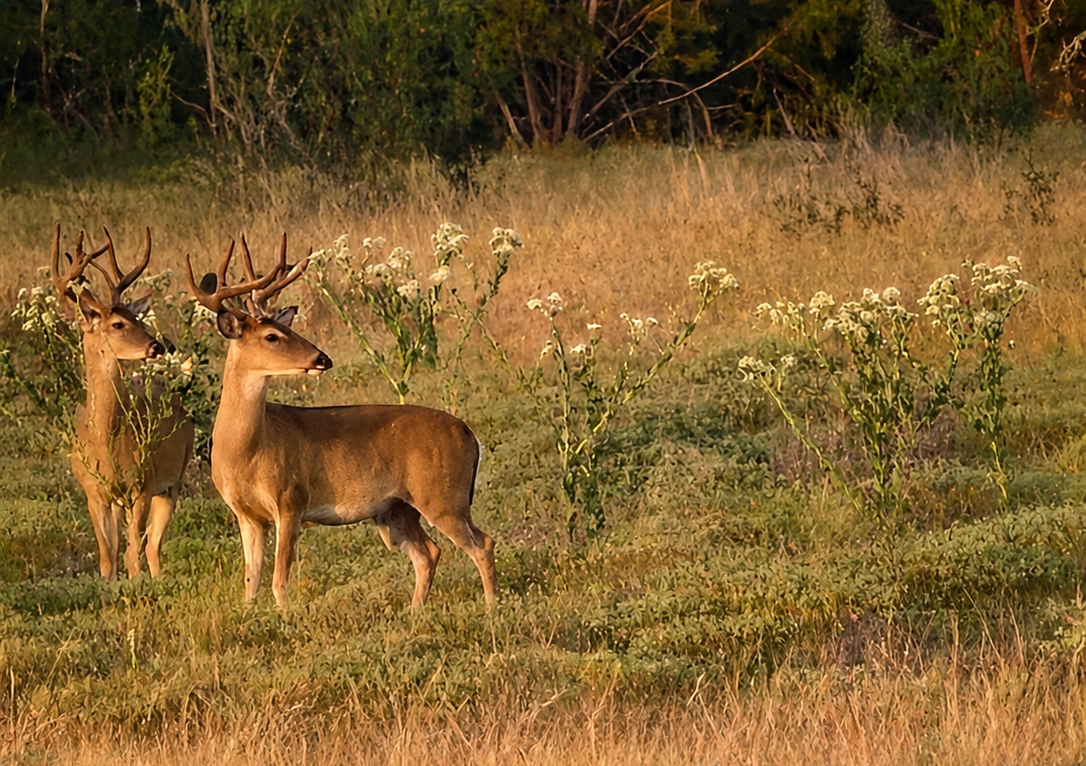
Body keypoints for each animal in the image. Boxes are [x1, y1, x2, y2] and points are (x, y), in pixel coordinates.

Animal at [52, 224, 194, 581]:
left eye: (138, 319)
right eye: (117, 324)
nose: (156, 346)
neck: (105, 442)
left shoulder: (141, 486)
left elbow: (133, 554)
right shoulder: (93, 492)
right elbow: (108, 557)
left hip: (171, 483)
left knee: (153, 547)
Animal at [184, 234, 498, 608]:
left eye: (285, 328)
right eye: (272, 336)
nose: (322, 359)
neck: (245, 451)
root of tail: (469, 434)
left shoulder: (291, 499)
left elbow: (279, 578)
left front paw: (284, 615)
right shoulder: (246, 514)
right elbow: (251, 580)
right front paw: (251, 614)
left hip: (443, 496)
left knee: (482, 544)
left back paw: (493, 607)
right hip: (397, 508)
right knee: (429, 553)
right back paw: (415, 610)